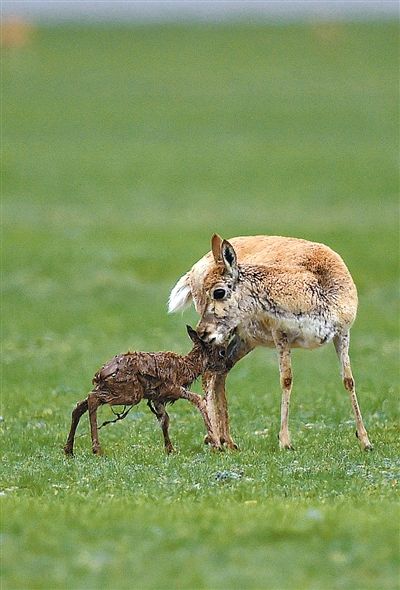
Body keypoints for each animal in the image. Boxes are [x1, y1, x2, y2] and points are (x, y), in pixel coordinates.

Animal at [65, 326, 228, 456]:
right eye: (222, 353)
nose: (226, 366)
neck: (186, 367)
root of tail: (100, 374)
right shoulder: (172, 388)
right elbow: (199, 400)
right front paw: (217, 445)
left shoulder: (157, 398)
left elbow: (164, 420)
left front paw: (170, 450)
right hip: (130, 392)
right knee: (92, 399)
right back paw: (96, 450)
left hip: (112, 389)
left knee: (79, 406)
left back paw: (69, 450)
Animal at [168, 234, 372, 450]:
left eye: (218, 292)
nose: (201, 332)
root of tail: (194, 269)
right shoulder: (280, 334)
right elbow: (286, 379)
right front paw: (285, 441)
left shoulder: (343, 333)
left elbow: (348, 380)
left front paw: (365, 441)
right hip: (227, 336)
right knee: (209, 374)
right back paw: (215, 440)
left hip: (244, 340)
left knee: (220, 372)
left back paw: (228, 441)